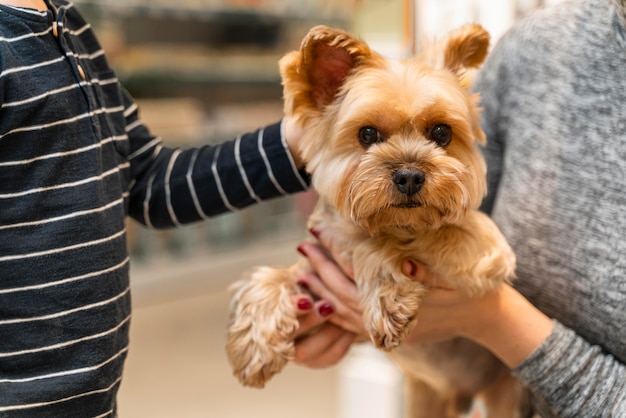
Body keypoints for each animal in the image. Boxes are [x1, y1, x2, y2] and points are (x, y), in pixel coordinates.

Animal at [224, 24, 528, 416]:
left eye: (441, 132)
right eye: (367, 133)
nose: (410, 176)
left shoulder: (485, 250)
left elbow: (385, 241)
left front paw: (388, 296)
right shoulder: (319, 290)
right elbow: (274, 276)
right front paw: (254, 347)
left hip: (505, 393)